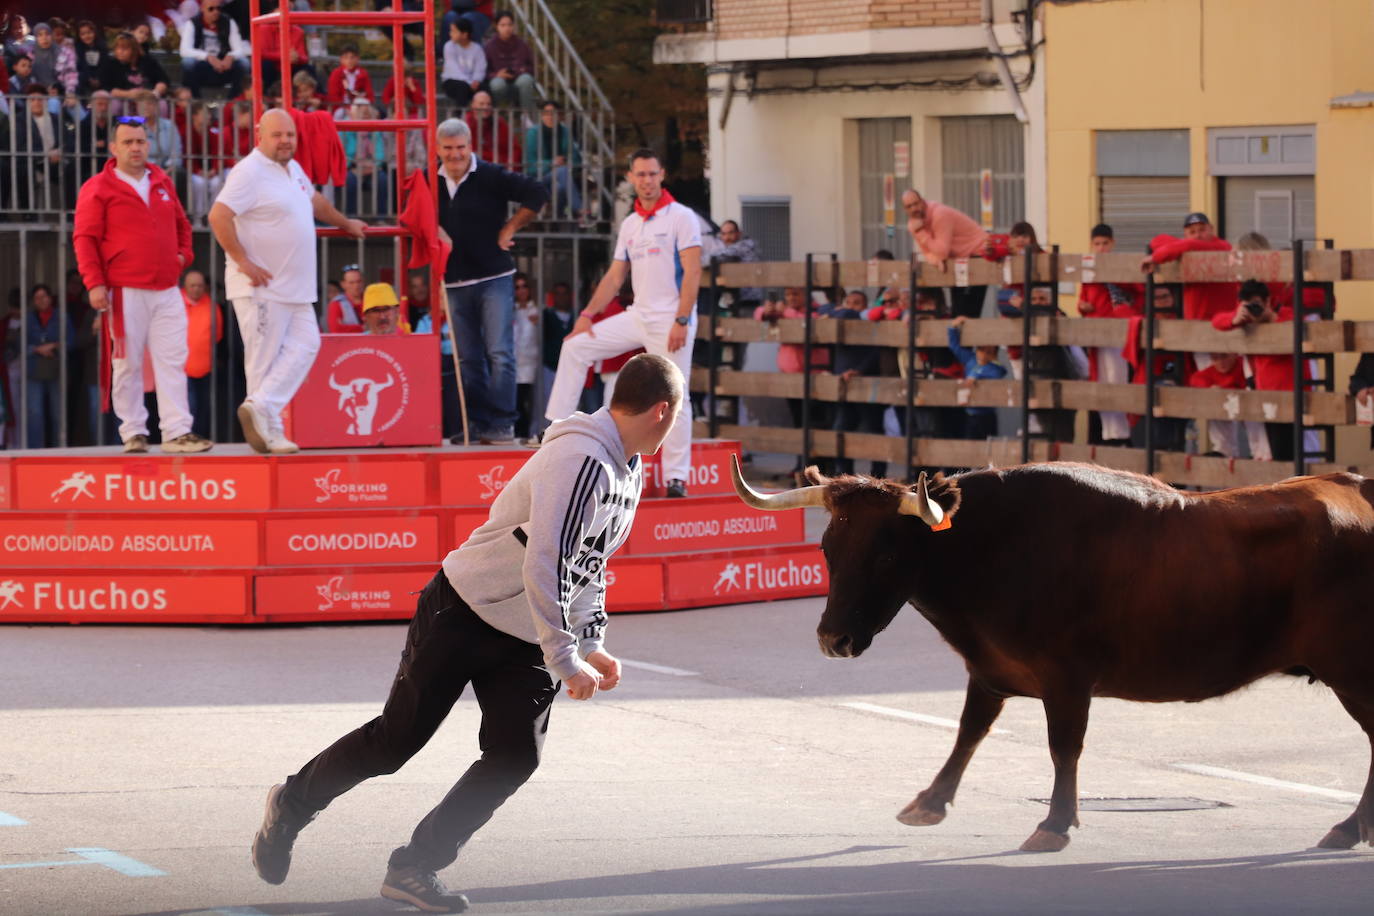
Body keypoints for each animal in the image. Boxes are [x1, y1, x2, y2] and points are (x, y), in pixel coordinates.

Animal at [736, 461, 1374, 856]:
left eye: (888, 555)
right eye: (827, 547)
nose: (833, 639)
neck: (997, 546)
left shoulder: (1068, 679)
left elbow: (1063, 747)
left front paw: (1054, 824)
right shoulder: (989, 670)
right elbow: (969, 732)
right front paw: (929, 803)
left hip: (1352, 674)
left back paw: (1348, 828)